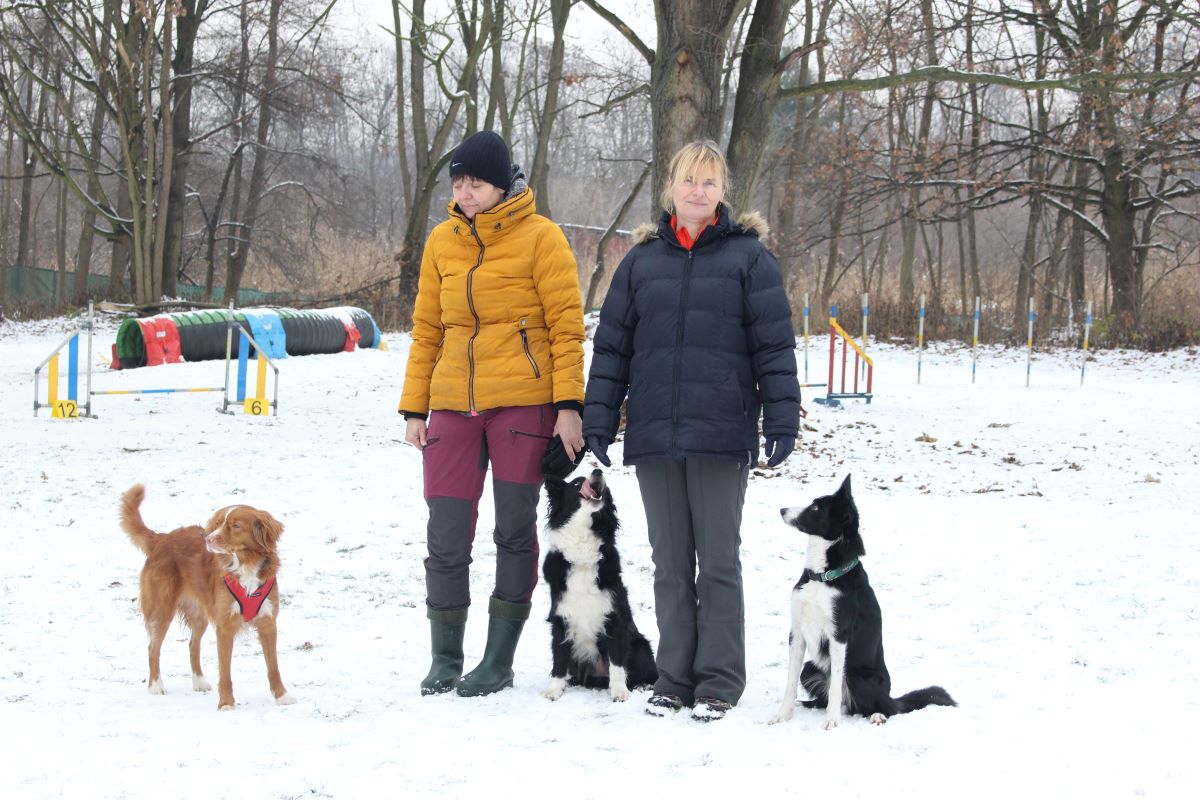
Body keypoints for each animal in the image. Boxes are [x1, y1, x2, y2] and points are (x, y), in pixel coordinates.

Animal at [117, 484, 295, 710]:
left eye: (235, 526)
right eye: (217, 524)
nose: (207, 539)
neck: (246, 565)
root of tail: (162, 538)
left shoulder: (268, 623)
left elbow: (273, 667)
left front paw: (281, 696)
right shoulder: (225, 626)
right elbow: (225, 671)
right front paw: (226, 703)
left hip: (198, 613)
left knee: (192, 645)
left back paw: (199, 682)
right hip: (161, 609)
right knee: (153, 648)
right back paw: (156, 685)